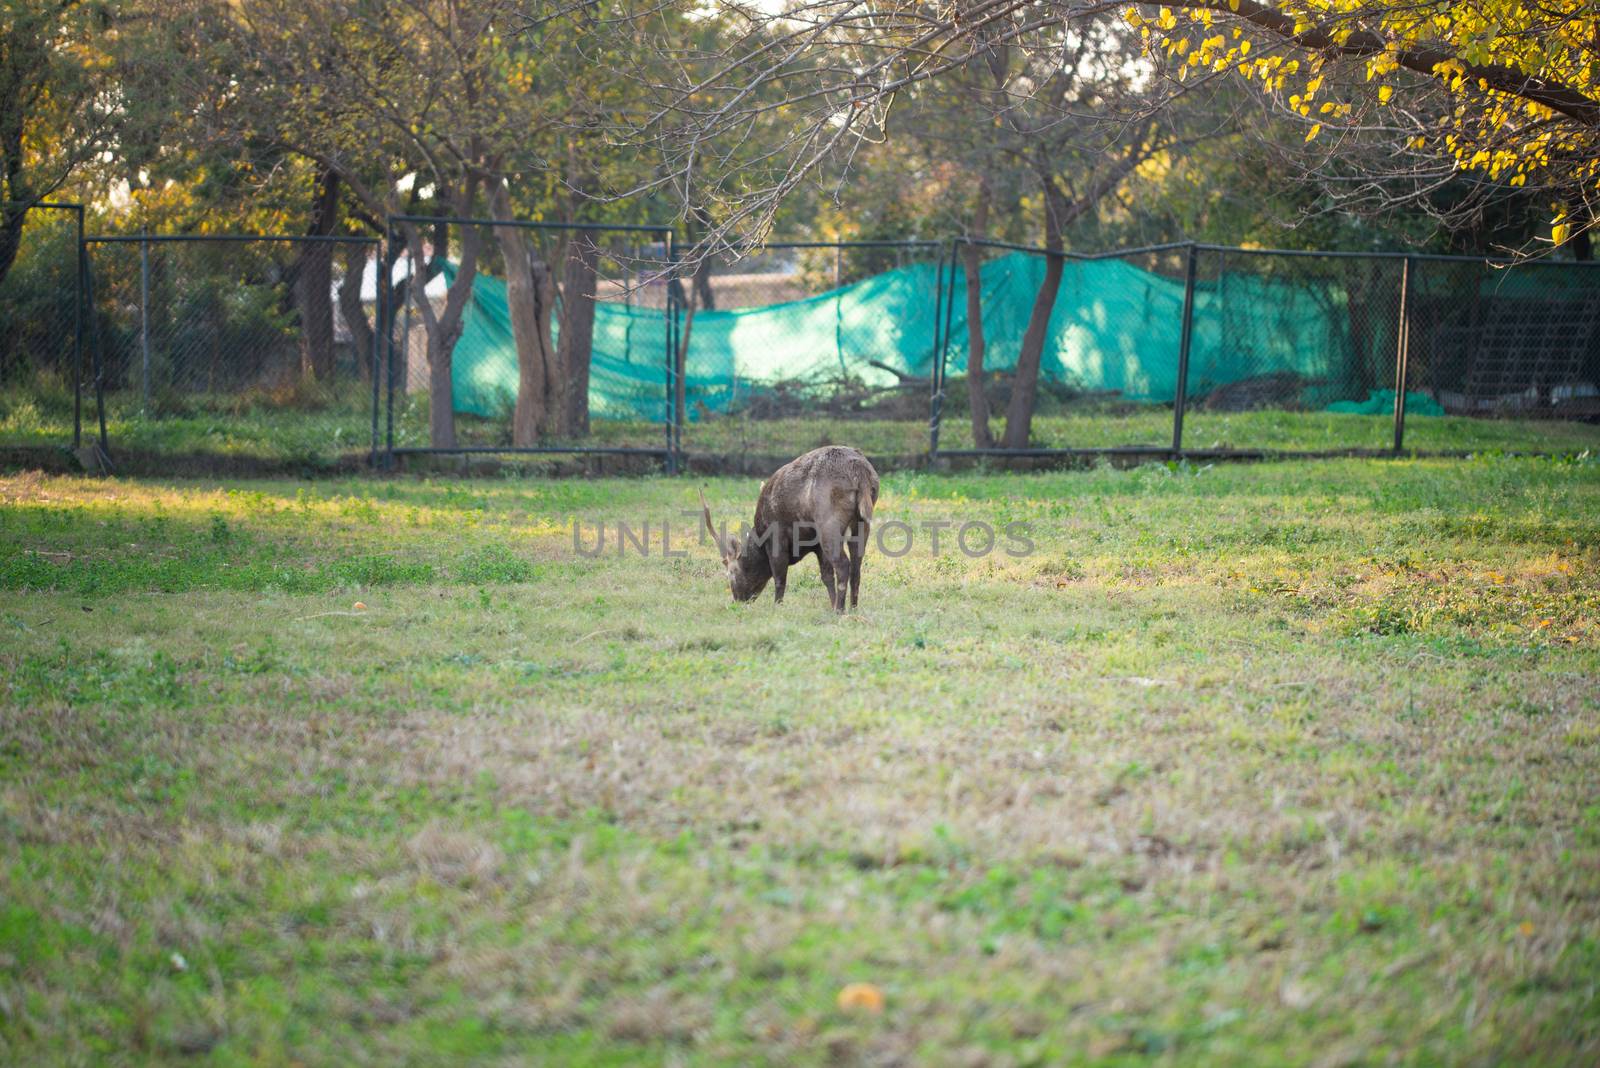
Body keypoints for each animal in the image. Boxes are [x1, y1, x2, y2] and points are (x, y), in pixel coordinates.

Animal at [697, 441, 883, 607]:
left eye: (730, 572)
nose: (737, 601)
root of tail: (860, 471)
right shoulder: (816, 544)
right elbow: (826, 576)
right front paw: (831, 605)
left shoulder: (776, 537)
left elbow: (779, 577)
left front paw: (777, 607)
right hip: (861, 522)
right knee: (856, 567)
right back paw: (852, 608)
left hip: (828, 522)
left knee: (844, 565)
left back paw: (840, 611)